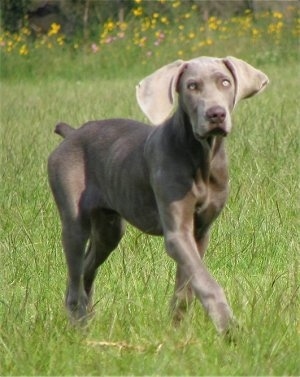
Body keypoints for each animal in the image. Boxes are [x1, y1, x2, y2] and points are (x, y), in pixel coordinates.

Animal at [48, 55, 268, 332]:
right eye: (192, 86)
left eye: (225, 82)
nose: (216, 113)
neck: (201, 156)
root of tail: (72, 132)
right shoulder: (177, 234)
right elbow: (205, 281)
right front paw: (227, 326)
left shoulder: (200, 232)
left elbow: (187, 286)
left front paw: (176, 331)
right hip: (74, 221)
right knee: (75, 276)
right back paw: (79, 327)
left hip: (109, 228)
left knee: (86, 270)